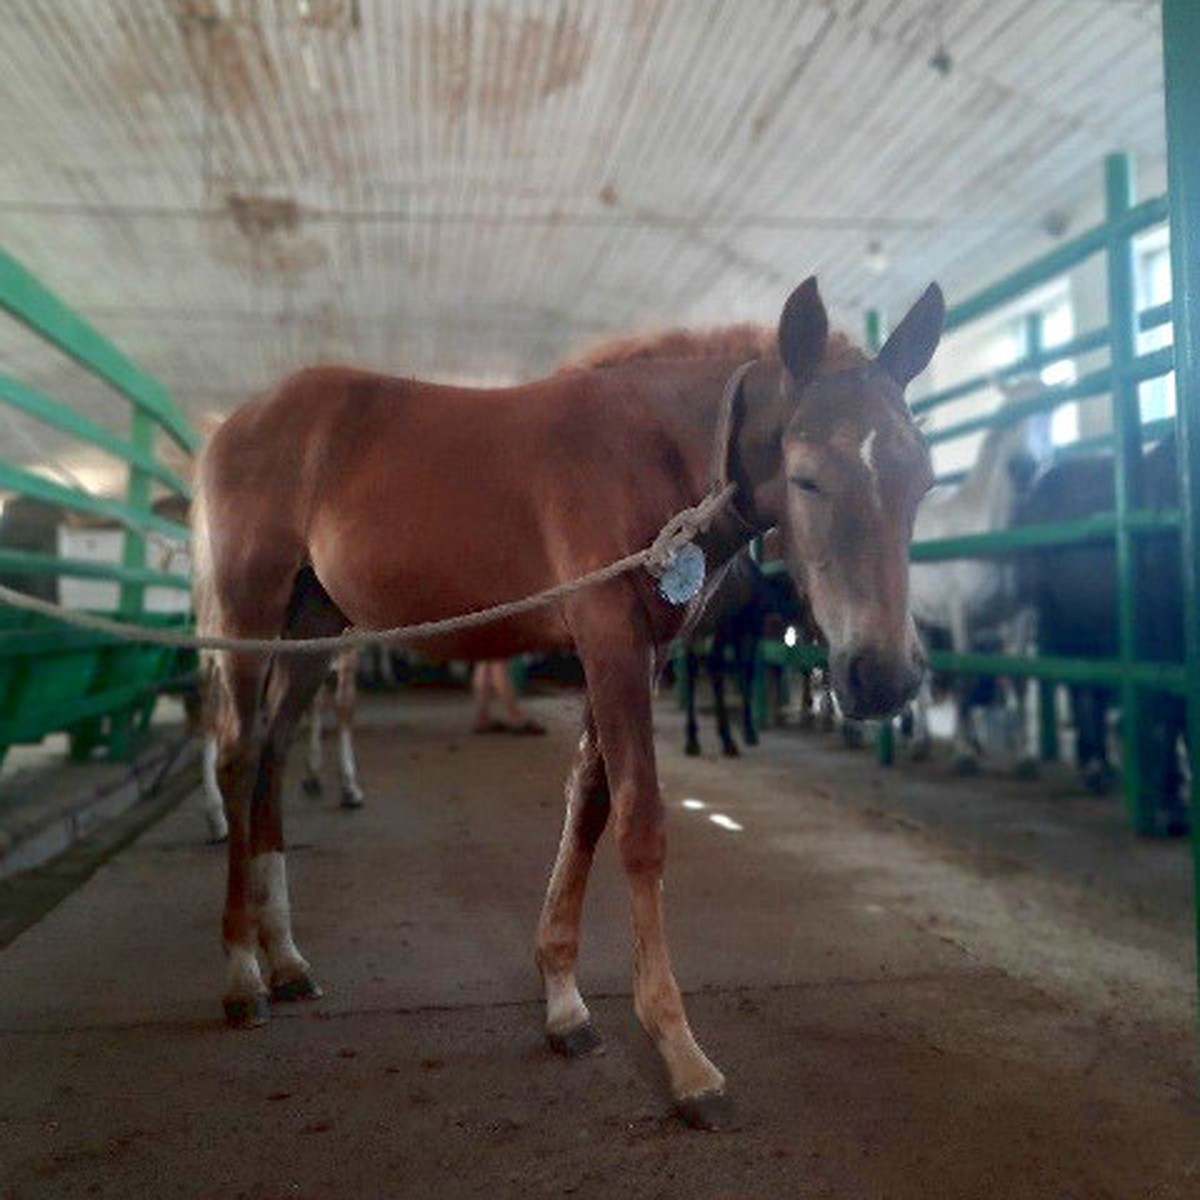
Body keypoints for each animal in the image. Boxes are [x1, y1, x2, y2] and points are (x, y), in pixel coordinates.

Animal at [192, 276, 940, 1128]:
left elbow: (588, 805)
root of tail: (234, 424)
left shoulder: (637, 653)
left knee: (274, 754)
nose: (883, 676)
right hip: (250, 619)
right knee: (239, 755)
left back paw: (286, 959)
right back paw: (242, 974)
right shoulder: (609, 637)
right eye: (808, 475)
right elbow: (639, 824)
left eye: (924, 480)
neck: (652, 449)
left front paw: (563, 1005)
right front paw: (682, 1055)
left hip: (314, 630)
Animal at [1012, 432, 1190, 835]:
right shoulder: (1167, 641)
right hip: (1059, 622)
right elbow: (1173, 713)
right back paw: (1093, 768)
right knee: (1082, 688)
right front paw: (1173, 806)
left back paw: (1105, 767)